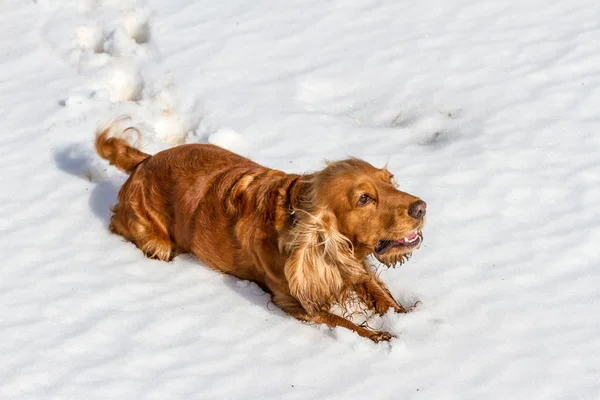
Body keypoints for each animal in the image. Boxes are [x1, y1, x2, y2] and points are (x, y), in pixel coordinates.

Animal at [95, 120, 426, 342]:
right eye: (364, 198)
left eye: (389, 179)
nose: (421, 207)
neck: (295, 214)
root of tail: (144, 161)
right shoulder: (293, 301)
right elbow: (341, 322)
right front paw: (378, 337)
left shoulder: (352, 263)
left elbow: (380, 294)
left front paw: (407, 317)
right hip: (154, 239)